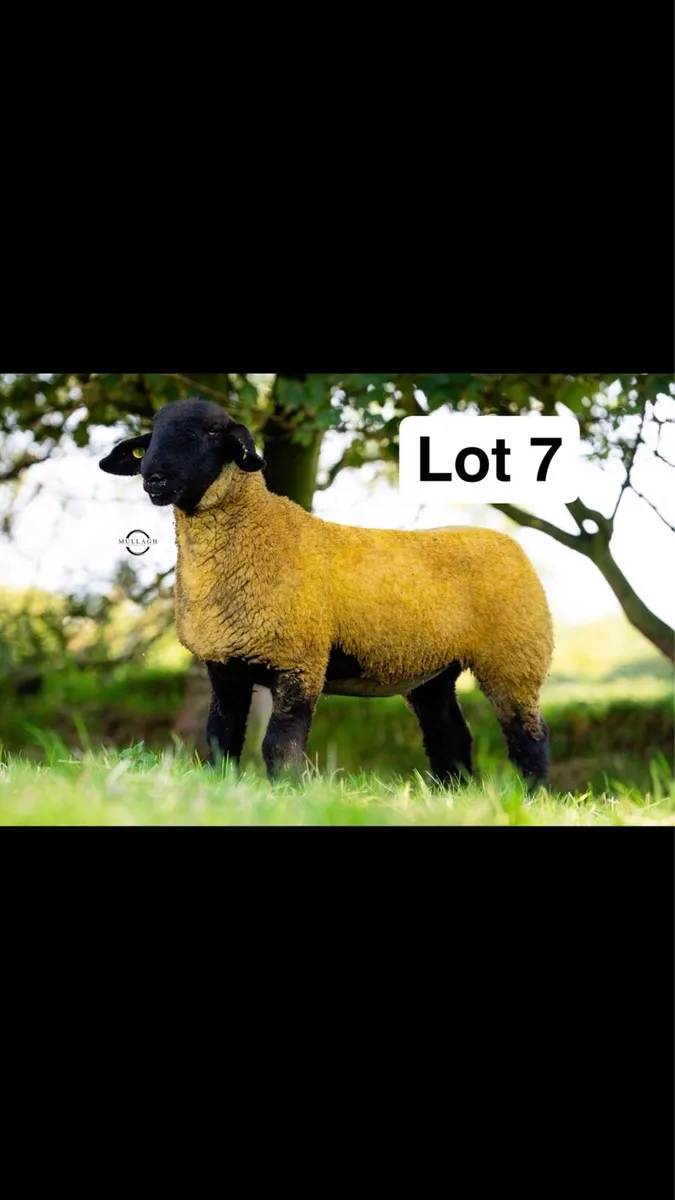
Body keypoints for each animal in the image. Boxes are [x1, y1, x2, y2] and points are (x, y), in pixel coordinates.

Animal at [100, 399, 554, 786]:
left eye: (212, 432)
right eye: (151, 437)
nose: (154, 478)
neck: (259, 532)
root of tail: (508, 543)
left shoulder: (300, 660)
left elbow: (280, 746)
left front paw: (286, 793)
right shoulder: (225, 665)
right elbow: (220, 739)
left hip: (515, 656)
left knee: (529, 736)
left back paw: (533, 797)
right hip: (435, 671)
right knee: (450, 736)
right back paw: (451, 795)